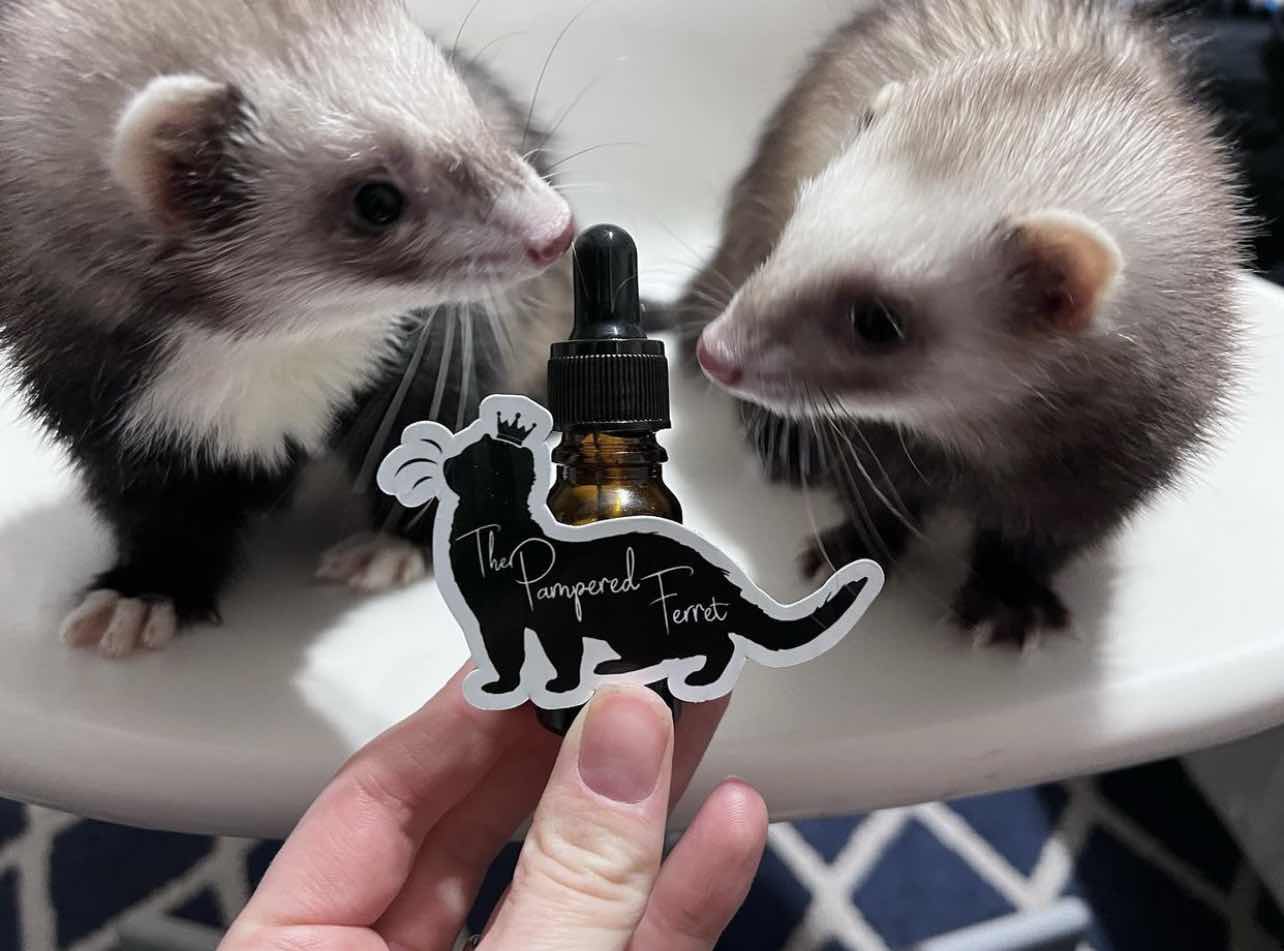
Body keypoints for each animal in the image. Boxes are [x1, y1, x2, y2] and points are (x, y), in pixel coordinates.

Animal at [0, 0, 574, 656]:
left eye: (461, 97)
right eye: (376, 201)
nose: (556, 230)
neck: (271, 363)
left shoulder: (429, 355)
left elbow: (448, 433)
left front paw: (391, 545)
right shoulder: (102, 410)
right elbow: (151, 511)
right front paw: (142, 594)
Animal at [676, 0, 1247, 645]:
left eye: (877, 321)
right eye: (794, 226)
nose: (718, 352)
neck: (970, 455)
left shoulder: (1108, 471)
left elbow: (1040, 540)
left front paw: (1007, 597)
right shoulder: (862, 440)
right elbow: (873, 499)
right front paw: (851, 549)